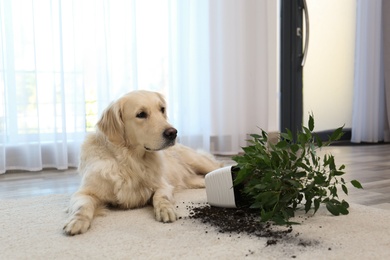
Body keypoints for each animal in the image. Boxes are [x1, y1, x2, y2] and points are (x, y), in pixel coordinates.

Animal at [63, 90, 222, 236]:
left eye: (162, 109)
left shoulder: (163, 185)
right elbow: (82, 206)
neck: (131, 161)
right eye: (141, 114)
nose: (173, 133)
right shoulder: (84, 192)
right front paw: (76, 221)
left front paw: (166, 209)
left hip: (200, 163)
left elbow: (160, 197)